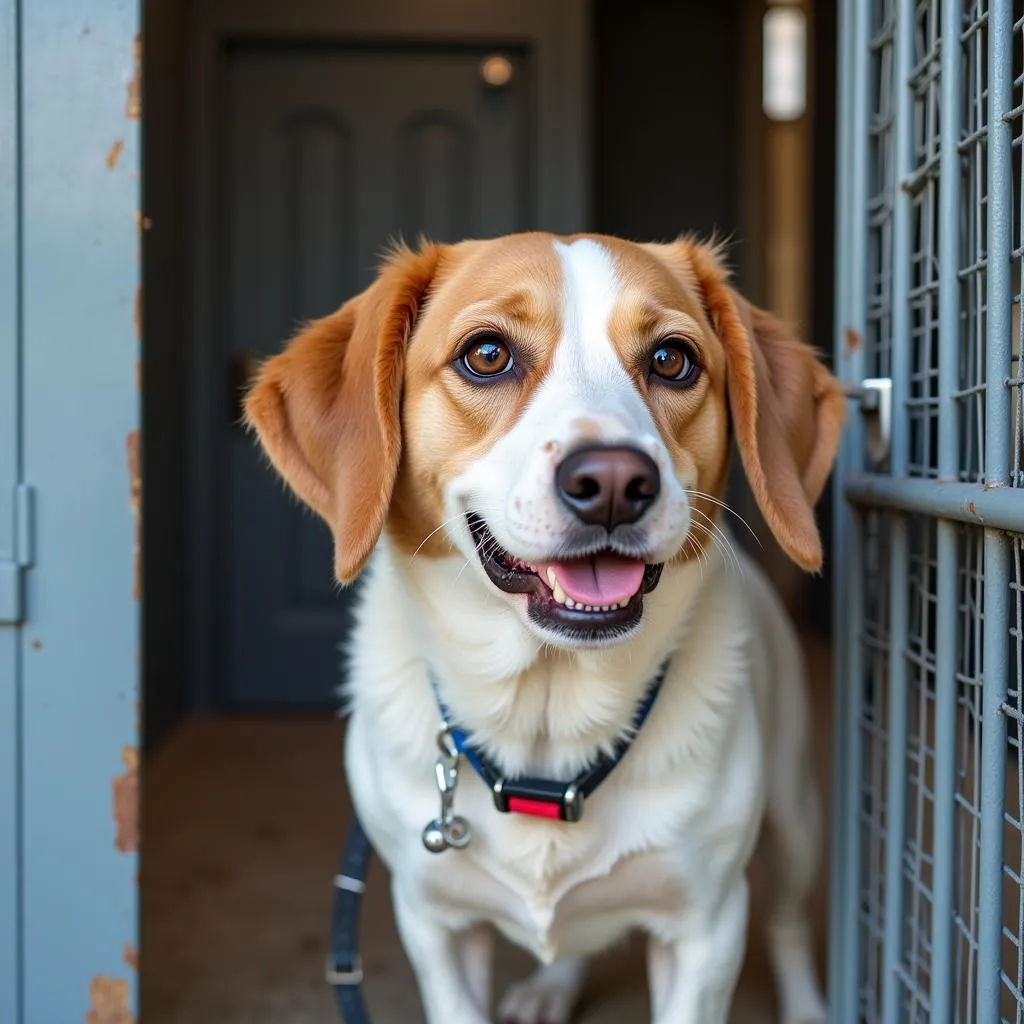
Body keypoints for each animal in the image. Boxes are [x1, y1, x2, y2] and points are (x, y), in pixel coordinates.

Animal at [243, 234, 843, 1024]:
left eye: (671, 359)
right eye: (487, 354)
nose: (615, 482)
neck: (548, 720)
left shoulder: (706, 929)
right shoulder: (432, 920)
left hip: (797, 816)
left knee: (791, 922)